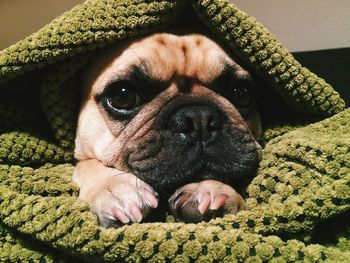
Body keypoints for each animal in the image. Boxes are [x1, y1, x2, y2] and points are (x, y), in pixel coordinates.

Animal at [72, 31, 262, 229]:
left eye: (241, 93)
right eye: (122, 96)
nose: (198, 117)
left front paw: (211, 188)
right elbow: (86, 163)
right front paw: (114, 186)